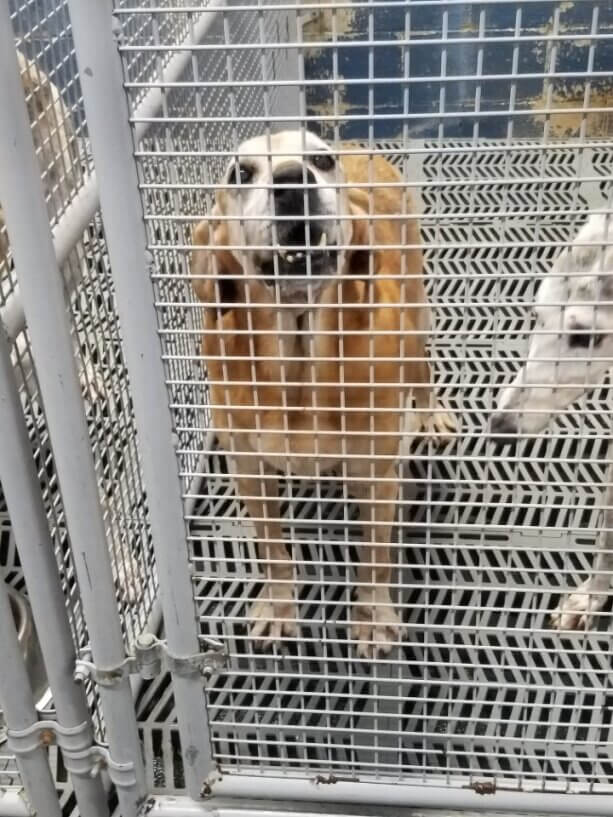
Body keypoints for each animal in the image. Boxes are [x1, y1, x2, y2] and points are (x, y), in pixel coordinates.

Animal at [191, 131, 454, 660]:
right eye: (241, 173)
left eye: (321, 160)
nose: (293, 181)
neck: (299, 369)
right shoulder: (247, 466)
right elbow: (272, 548)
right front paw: (279, 607)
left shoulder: (378, 475)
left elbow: (375, 557)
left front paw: (373, 617)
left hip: (416, 319)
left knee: (422, 370)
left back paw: (431, 417)